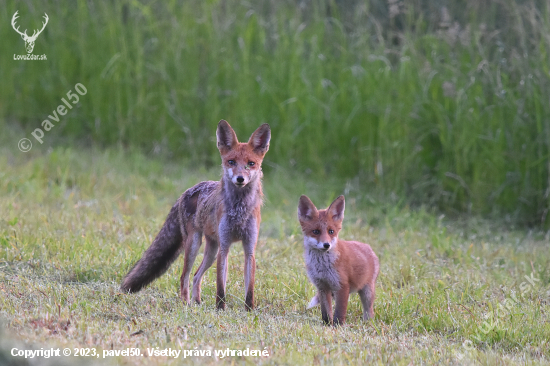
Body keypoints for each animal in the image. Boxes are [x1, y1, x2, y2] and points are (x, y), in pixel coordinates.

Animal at [121, 119, 272, 308]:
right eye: (231, 162)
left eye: (251, 164)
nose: (240, 179)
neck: (239, 211)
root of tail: (186, 191)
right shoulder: (225, 247)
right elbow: (220, 288)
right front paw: (220, 309)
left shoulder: (249, 249)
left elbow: (249, 290)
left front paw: (249, 310)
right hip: (194, 244)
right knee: (184, 276)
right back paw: (186, 304)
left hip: (211, 251)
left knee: (196, 275)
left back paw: (197, 301)